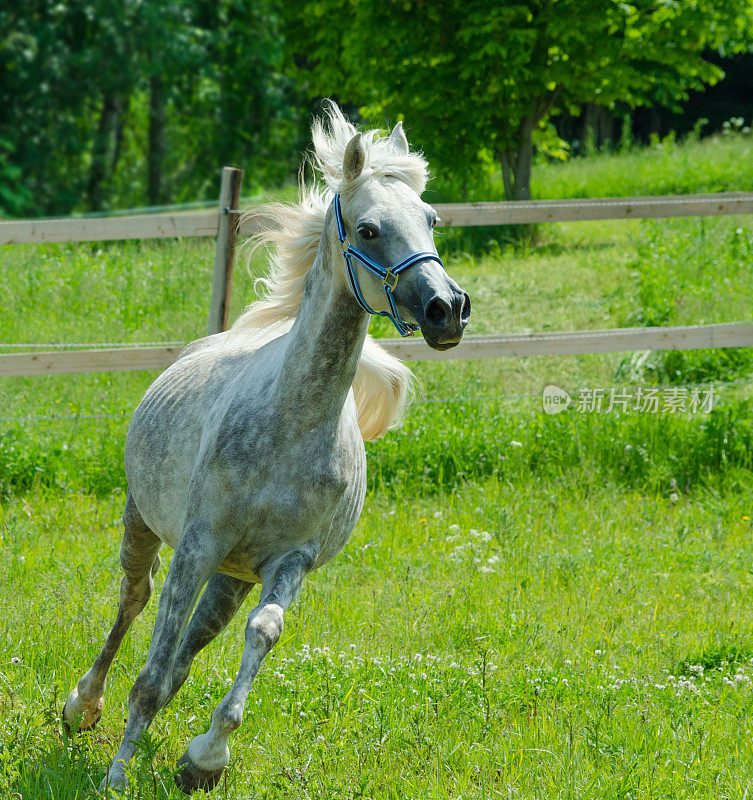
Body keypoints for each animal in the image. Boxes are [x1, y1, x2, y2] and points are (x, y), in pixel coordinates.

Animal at [63, 104, 470, 792]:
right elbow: (150, 668)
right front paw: (117, 776)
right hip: (144, 522)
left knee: (191, 646)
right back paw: (81, 707)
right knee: (134, 601)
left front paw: (205, 758)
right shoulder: (197, 544)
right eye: (369, 229)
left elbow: (262, 632)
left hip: (232, 577)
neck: (291, 424)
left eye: (431, 220)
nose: (448, 309)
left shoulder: (290, 561)